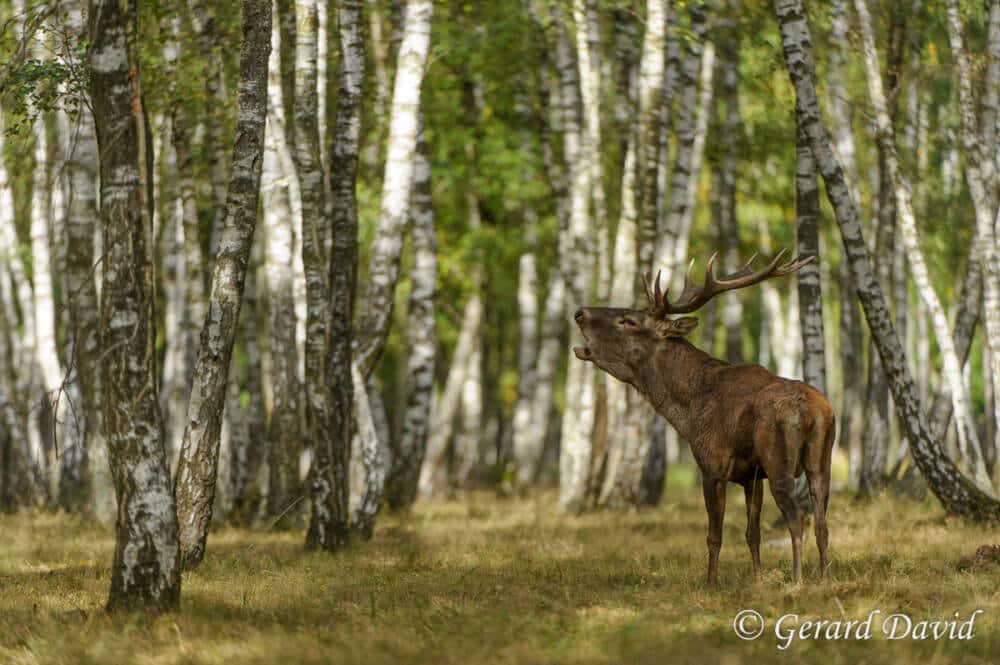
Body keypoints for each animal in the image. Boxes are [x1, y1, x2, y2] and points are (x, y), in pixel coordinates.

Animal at [576, 250, 832, 588]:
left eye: (628, 320)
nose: (579, 312)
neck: (687, 411)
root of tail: (813, 411)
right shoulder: (752, 475)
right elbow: (752, 533)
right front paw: (758, 582)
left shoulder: (712, 466)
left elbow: (715, 534)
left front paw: (711, 584)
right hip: (821, 460)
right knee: (822, 521)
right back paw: (827, 576)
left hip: (780, 460)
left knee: (797, 518)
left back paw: (799, 581)